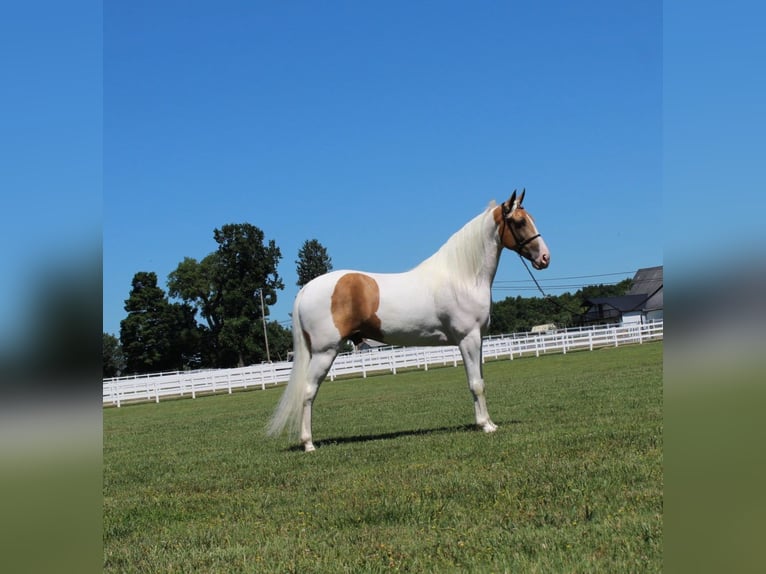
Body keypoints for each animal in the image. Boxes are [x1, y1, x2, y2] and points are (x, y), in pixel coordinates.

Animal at [270, 191, 552, 452]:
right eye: (519, 222)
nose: (545, 258)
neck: (462, 277)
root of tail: (307, 289)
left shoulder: (478, 340)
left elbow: (479, 381)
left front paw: (487, 422)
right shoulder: (468, 339)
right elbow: (476, 384)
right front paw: (486, 426)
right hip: (325, 352)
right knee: (308, 392)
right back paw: (308, 444)